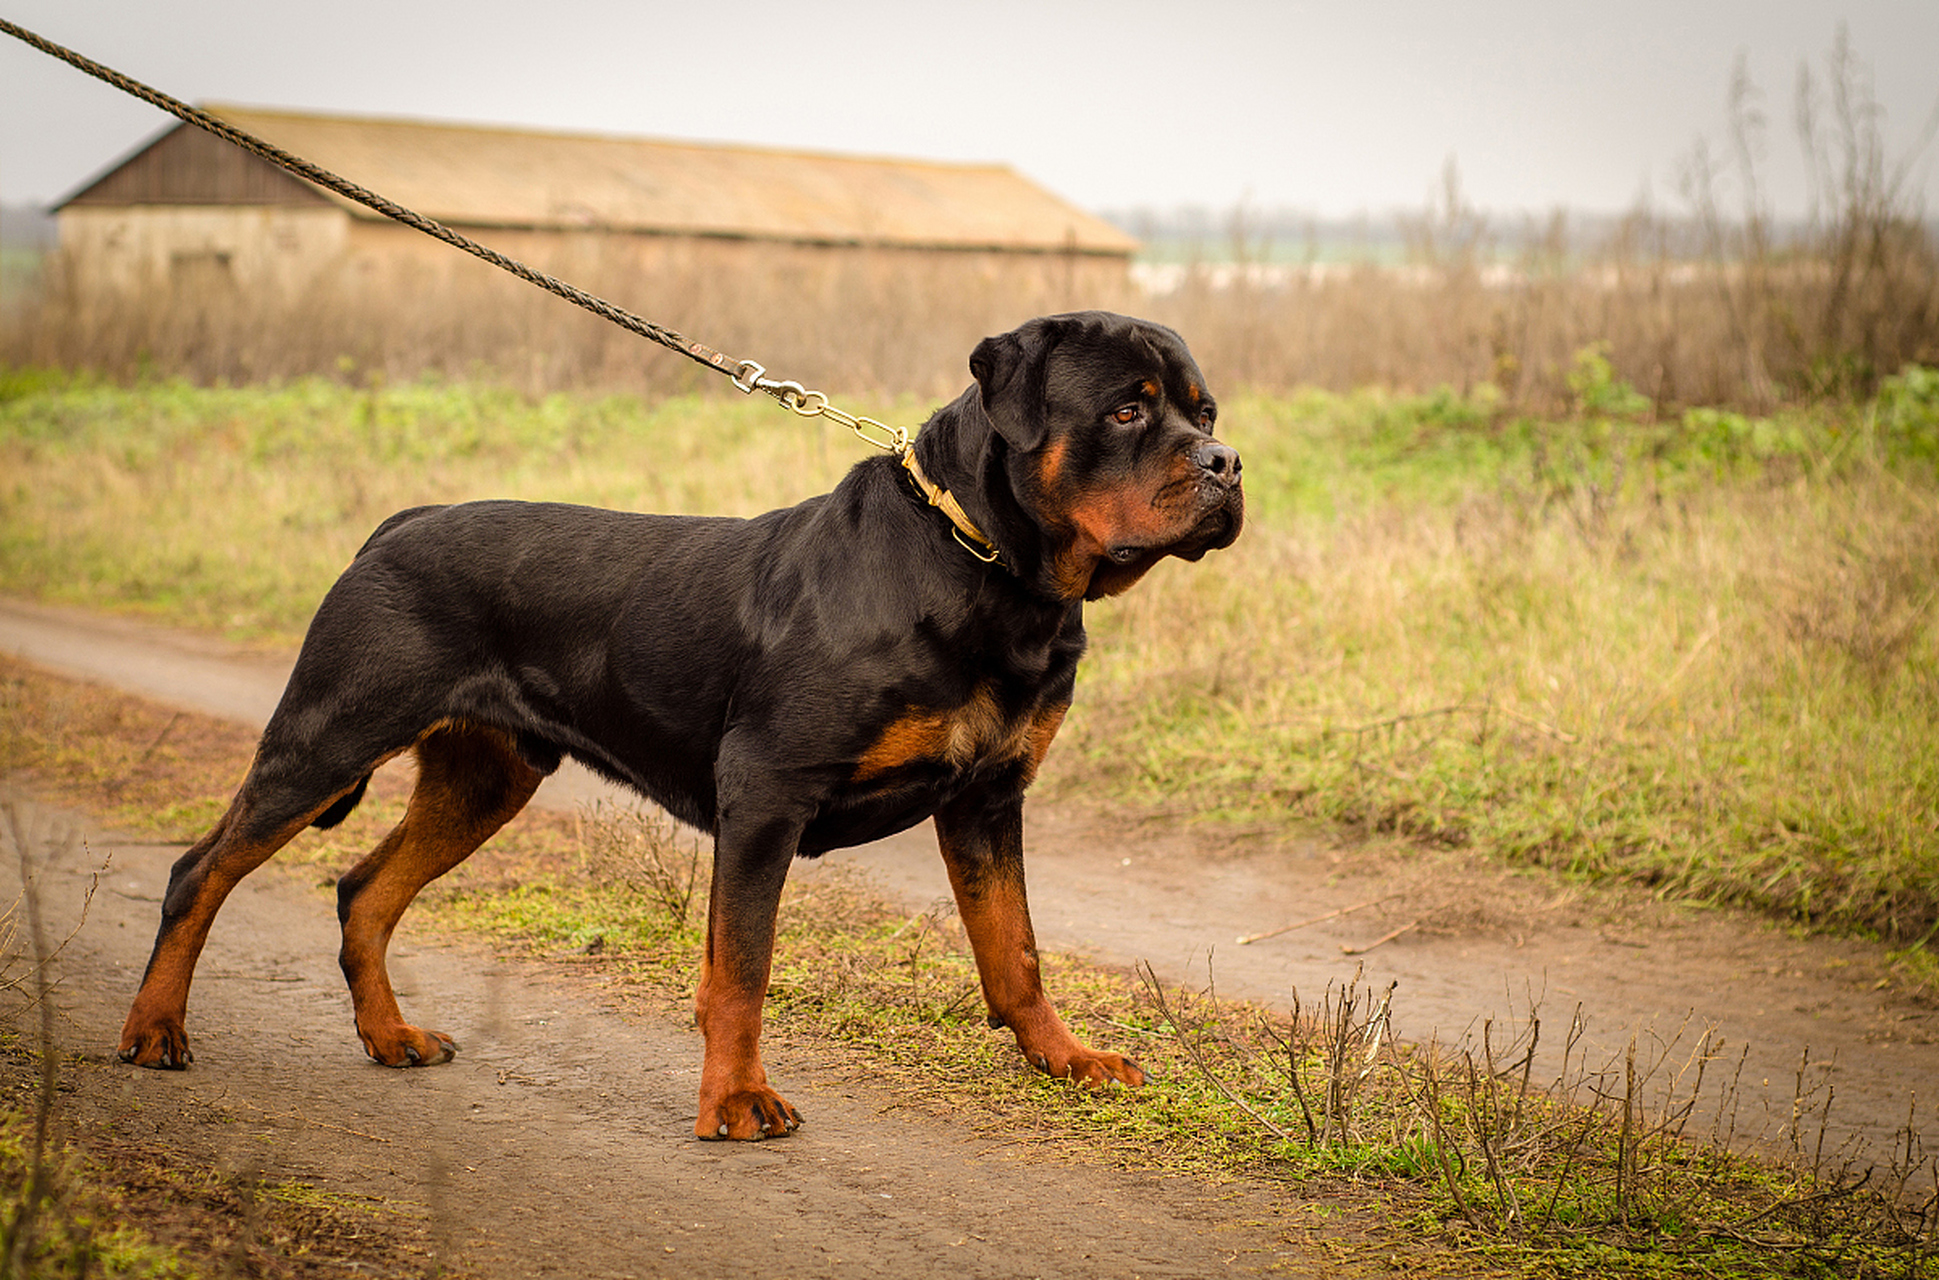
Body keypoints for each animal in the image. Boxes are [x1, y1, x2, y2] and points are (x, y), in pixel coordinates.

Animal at [117, 312, 1240, 1140]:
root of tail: (398, 522)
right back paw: (155, 1028)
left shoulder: (987, 798)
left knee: (364, 889)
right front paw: (735, 1098)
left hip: (485, 777)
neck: (988, 570)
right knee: (201, 870)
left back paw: (389, 1036)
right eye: (1127, 409)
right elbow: (741, 967)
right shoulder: (767, 794)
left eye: (1203, 411)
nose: (1228, 462)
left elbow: (1017, 953)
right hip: (327, 735)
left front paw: (1065, 1057)